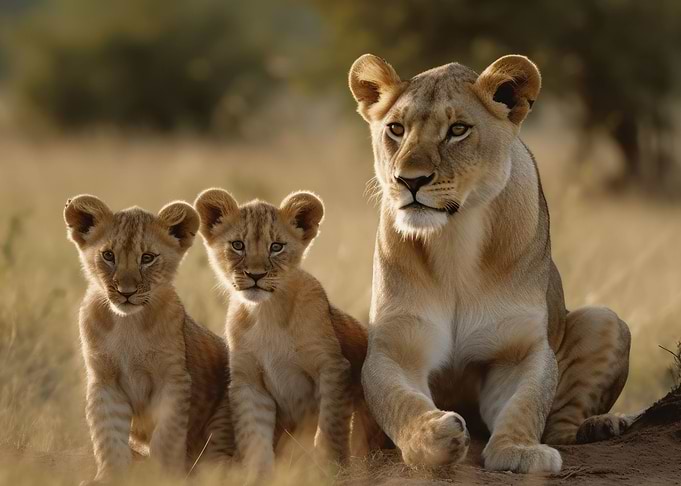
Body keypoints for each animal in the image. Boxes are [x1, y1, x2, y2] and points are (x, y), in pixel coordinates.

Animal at [348, 54, 633, 473]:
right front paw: (432, 436)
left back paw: (602, 425)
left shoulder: (516, 350)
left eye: (458, 130)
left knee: (561, 426)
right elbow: (402, 403)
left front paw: (519, 451)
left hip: (605, 320)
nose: (409, 180)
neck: (454, 237)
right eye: (396, 129)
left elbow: (525, 404)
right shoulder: (395, 347)